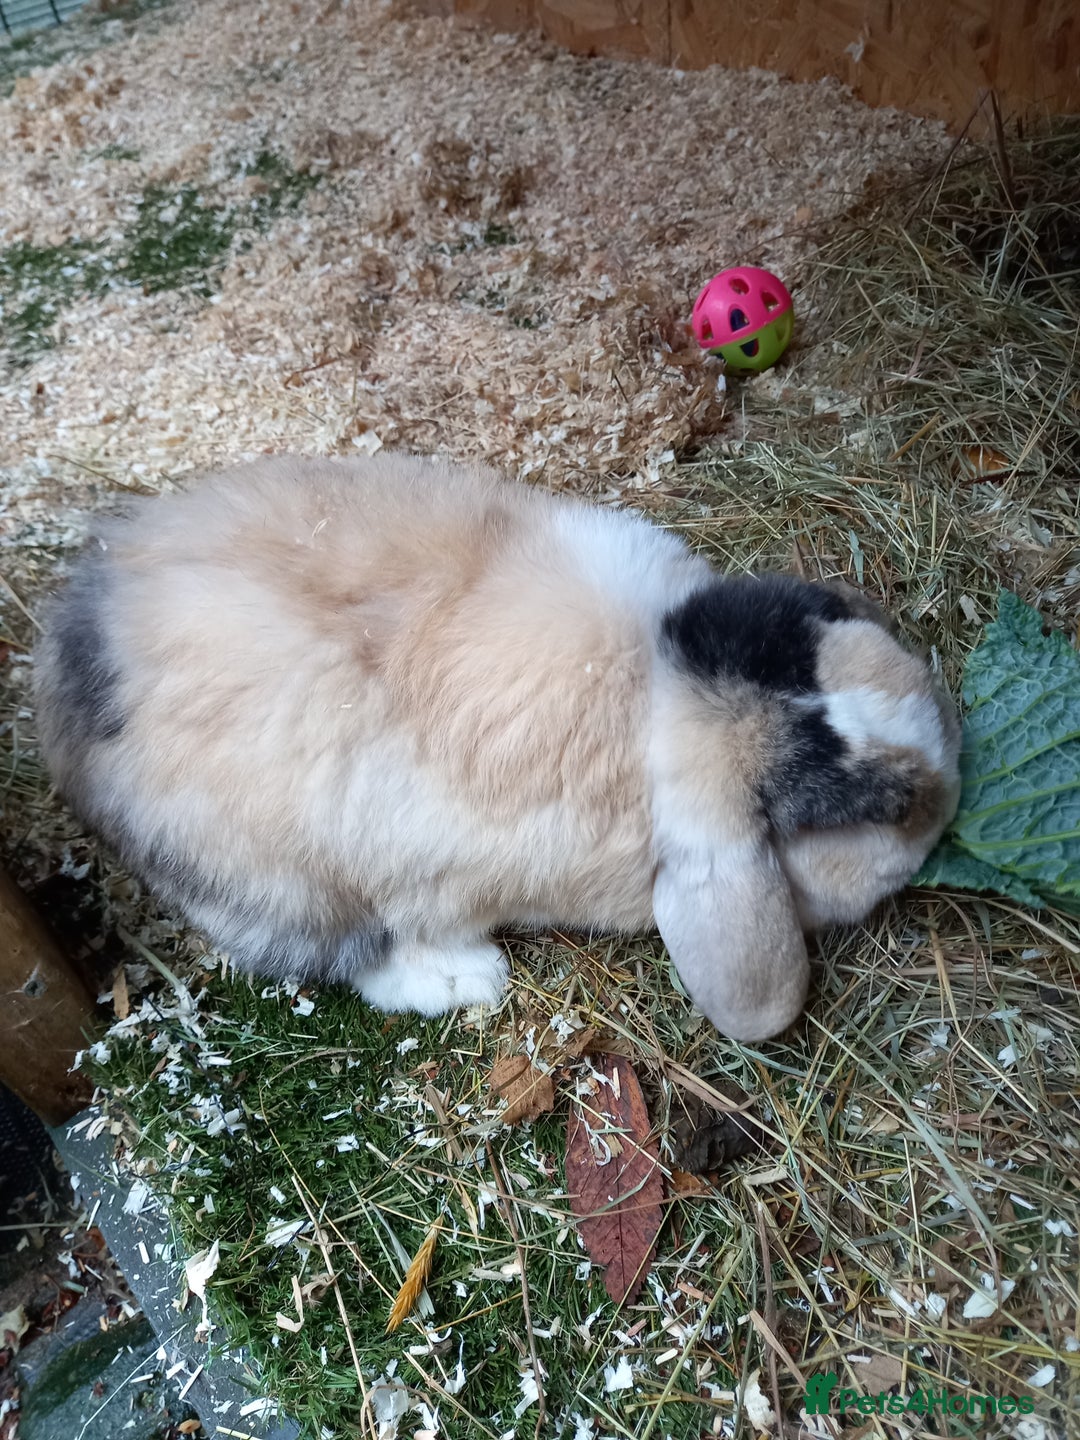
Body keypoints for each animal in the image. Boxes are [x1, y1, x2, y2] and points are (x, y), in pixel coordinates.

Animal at [33, 453, 961, 1042]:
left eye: (817, 628)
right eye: (870, 809)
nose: (951, 763)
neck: (658, 696)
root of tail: (68, 681)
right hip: (280, 878)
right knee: (335, 950)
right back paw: (464, 977)